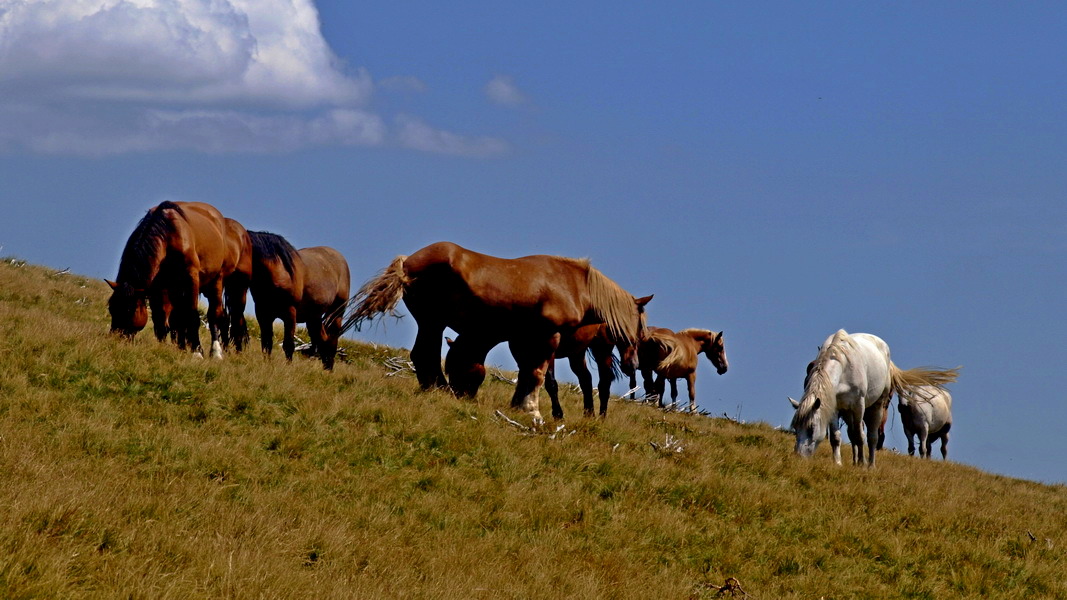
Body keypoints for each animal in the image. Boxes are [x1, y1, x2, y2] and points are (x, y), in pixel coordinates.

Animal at [106, 200, 251, 356]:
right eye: (111, 308)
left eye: (130, 310)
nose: (115, 338)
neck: (168, 234)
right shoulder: (160, 287)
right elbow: (163, 318)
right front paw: (169, 346)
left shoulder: (191, 279)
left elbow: (192, 316)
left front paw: (197, 351)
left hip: (223, 282)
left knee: (221, 315)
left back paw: (218, 351)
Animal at [247, 229, 352, 367]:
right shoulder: (263, 313)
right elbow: (266, 342)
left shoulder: (290, 313)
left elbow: (288, 345)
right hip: (314, 317)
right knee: (322, 340)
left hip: (336, 313)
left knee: (332, 340)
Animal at [345, 240, 653, 422]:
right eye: (641, 328)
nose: (634, 364)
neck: (575, 285)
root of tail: (408, 261)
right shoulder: (547, 337)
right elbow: (538, 375)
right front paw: (532, 410)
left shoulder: (524, 340)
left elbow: (528, 373)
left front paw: (520, 405)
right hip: (433, 321)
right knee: (425, 354)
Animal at [789, 330, 964, 463]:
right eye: (796, 427)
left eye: (811, 428)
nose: (798, 456)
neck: (842, 366)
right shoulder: (834, 407)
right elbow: (836, 437)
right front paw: (838, 463)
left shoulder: (858, 406)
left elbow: (860, 436)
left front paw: (862, 463)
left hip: (876, 407)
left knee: (872, 436)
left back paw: (870, 464)